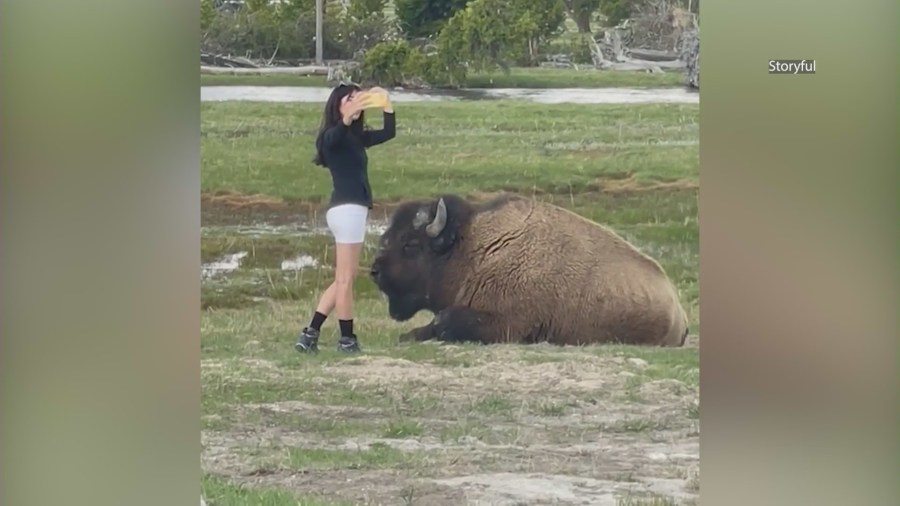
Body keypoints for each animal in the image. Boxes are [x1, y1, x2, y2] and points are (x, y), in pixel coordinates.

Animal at [368, 194, 688, 348]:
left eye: (410, 244)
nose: (375, 271)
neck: (473, 248)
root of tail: (678, 311)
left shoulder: (505, 322)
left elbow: (444, 321)